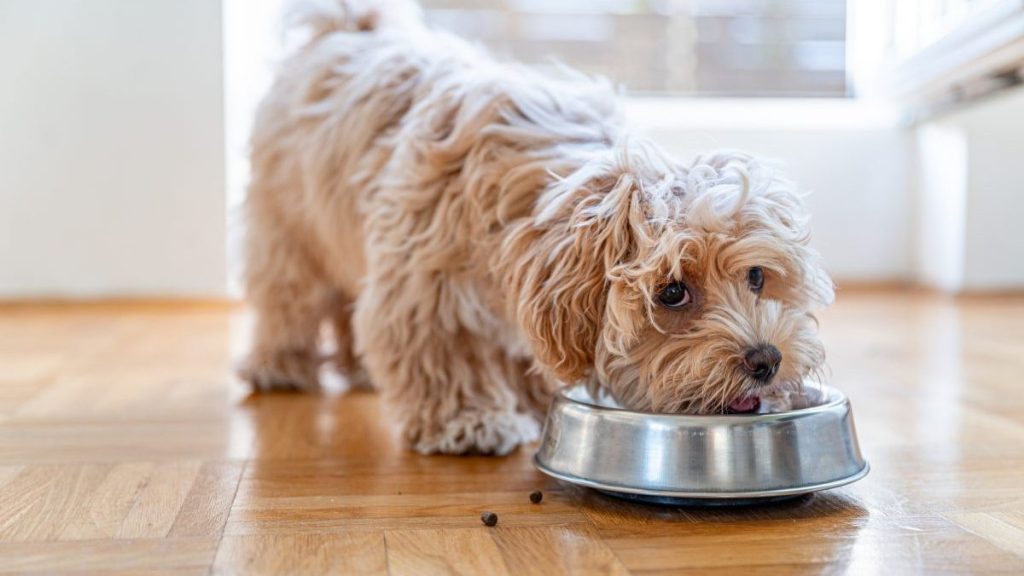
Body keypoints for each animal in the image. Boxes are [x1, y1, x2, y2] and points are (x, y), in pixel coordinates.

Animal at [243, 0, 835, 455]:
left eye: (756, 277)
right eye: (672, 293)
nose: (766, 359)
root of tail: (347, 26)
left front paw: (529, 399)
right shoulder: (423, 284)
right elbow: (443, 350)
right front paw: (470, 420)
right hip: (287, 226)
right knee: (288, 297)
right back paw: (279, 364)